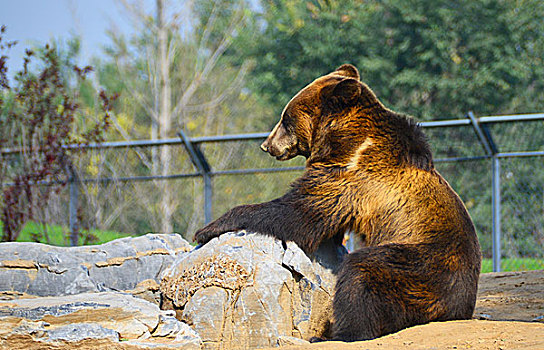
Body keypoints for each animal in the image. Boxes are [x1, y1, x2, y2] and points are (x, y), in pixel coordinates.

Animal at [194, 63, 480, 342]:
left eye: (286, 119)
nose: (267, 145)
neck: (343, 138)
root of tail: (460, 308)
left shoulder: (347, 176)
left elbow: (298, 214)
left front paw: (208, 228)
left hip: (421, 263)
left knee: (362, 271)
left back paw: (337, 334)